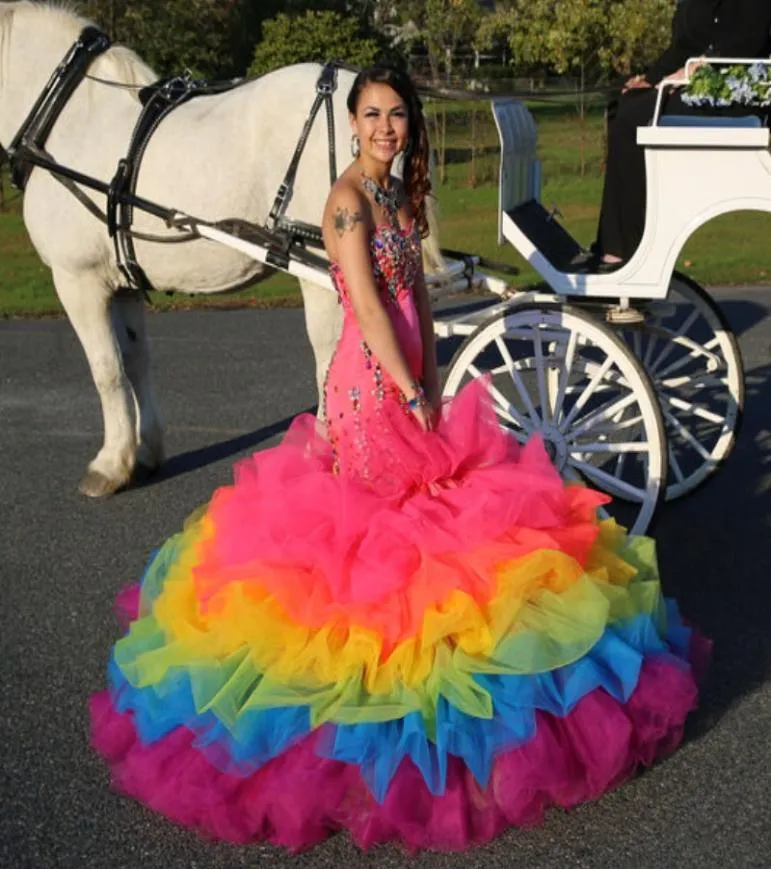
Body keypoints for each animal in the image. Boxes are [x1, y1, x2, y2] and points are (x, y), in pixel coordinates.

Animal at [0, 1, 446, 496]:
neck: (67, 118)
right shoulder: (123, 282)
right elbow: (134, 361)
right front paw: (146, 451)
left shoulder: (77, 279)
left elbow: (105, 368)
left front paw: (110, 464)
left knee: (335, 355)